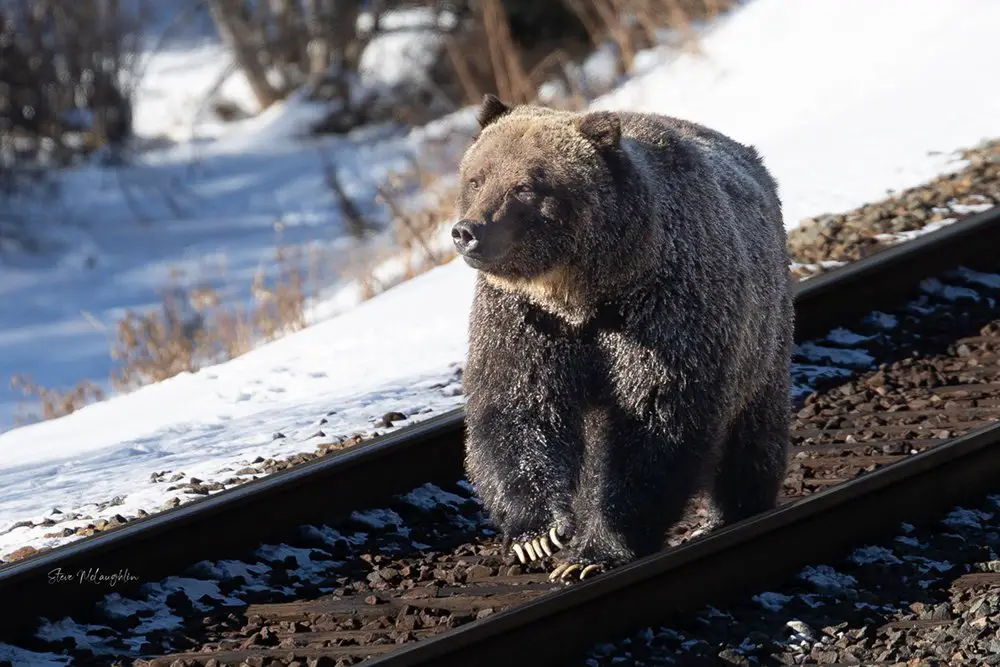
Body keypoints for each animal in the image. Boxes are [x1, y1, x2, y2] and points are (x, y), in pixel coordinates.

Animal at [452, 96, 788, 580]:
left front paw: (594, 552)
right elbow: (515, 408)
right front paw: (538, 535)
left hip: (763, 328)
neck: (582, 295)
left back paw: (737, 505)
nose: (468, 231)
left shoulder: (664, 311)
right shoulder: (522, 322)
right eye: (476, 177)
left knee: (754, 422)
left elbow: (653, 420)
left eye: (525, 187)